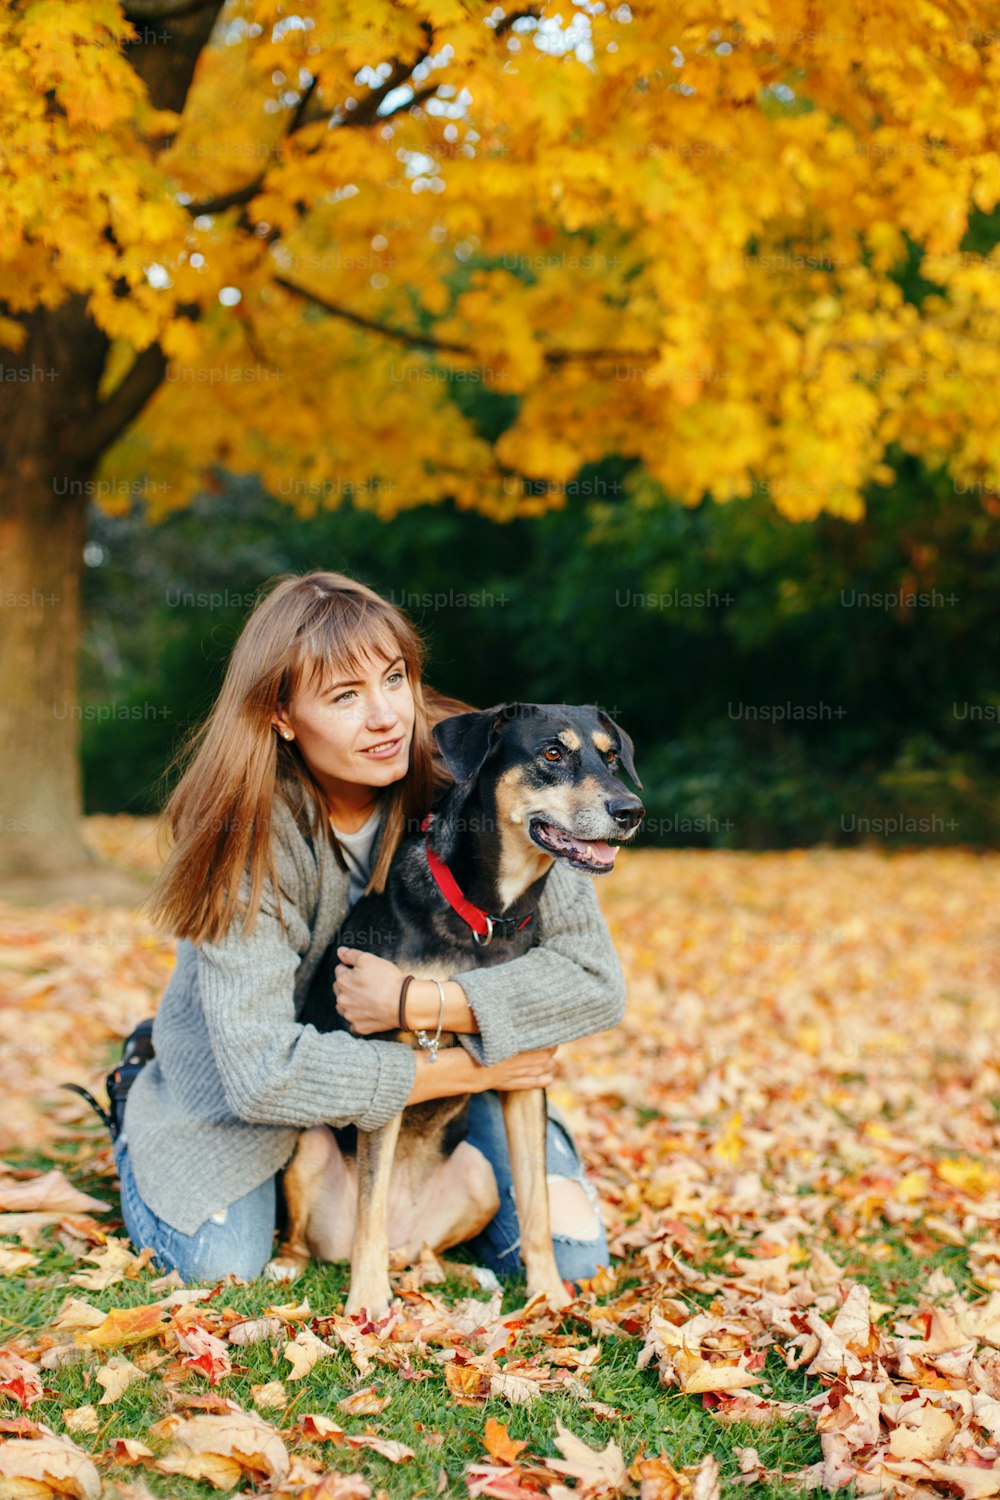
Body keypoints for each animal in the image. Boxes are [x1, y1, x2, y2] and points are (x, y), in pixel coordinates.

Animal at [268, 702, 641, 1314]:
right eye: (552, 753)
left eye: (611, 758)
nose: (631, 810)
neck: (488, 913)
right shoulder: (385, 1067)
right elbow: (369, 1209)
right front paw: (367, 1303)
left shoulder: (525, 1079)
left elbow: (537, 1207)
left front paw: (547, 1295)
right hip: (310, 1147)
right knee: (329, 1235)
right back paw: (290, 1266)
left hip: (479, 1176)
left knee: (424, 1253)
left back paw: (461, 1272)